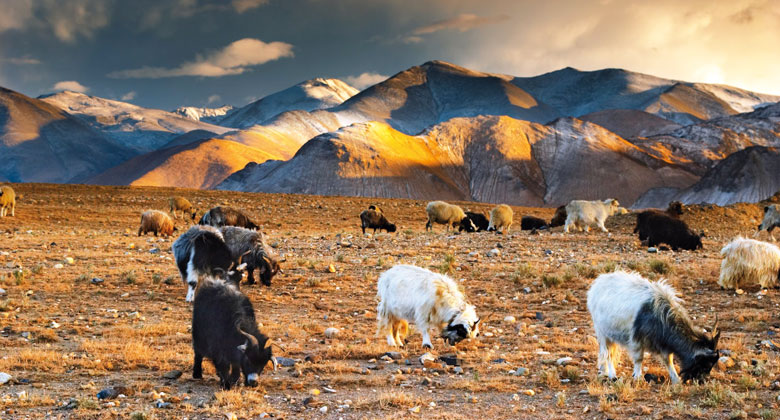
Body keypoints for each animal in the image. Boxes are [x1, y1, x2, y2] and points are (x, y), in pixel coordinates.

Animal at [588, 272, 724, 384]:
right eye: (705, 365)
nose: (702, 382)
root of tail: (596, 285)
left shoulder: (662, 342)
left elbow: (668, 359)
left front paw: (675, 379)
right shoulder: (637, 338)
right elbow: (639, 358)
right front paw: (637, 377)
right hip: (602, 332)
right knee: (607, 353)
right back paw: (612, 375)